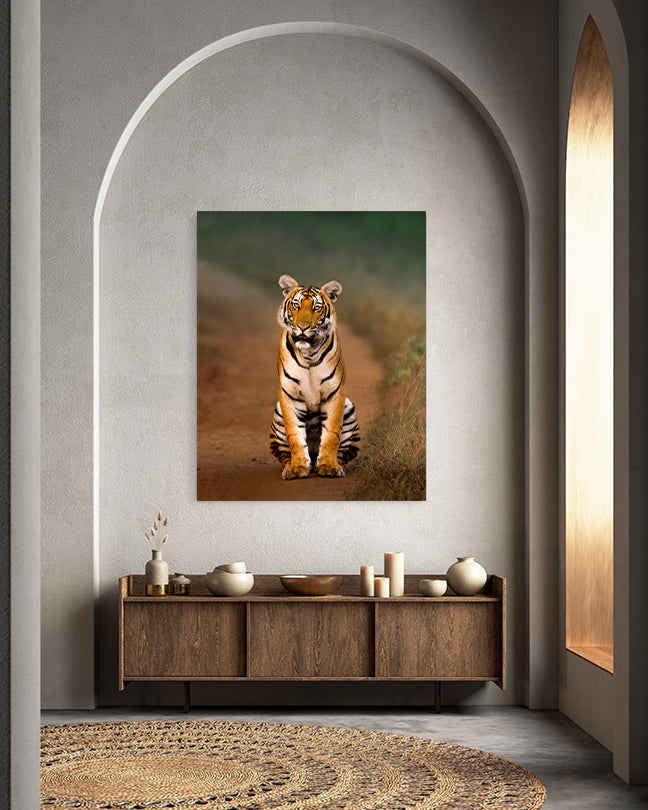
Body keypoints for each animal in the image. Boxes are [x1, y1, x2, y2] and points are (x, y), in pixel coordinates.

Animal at [269, 274, 360, 479]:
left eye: (316, 308)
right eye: (296, 305)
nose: (302, 327)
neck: (308, 353)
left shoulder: (335, 393)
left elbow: (332, 434)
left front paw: (329, 466)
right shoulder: (289, 394)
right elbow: (294, 435)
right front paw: (297, 468)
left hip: (349, 408)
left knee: (343, 453)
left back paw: (329, 465)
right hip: (277, 413)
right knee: (284, 454)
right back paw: (294, 465)